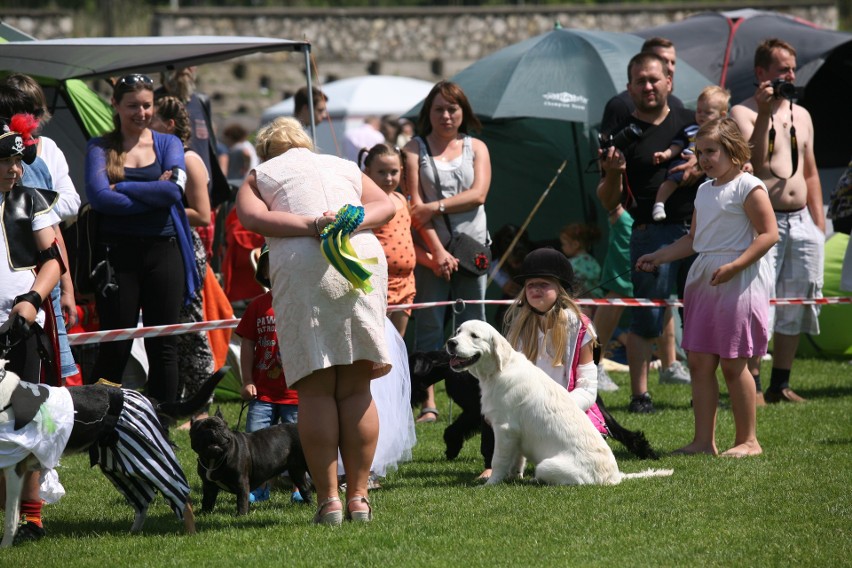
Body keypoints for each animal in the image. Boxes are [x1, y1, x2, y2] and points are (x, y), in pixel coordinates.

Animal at [446, 322, 672, 486]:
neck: (498, 371)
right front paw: (513, 478)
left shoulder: (505, 428)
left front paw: (490, 483)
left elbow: (498, 460)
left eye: (474, 336)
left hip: (546, 465)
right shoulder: (515, 434)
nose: (450, 342)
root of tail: (615, 477)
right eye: (458, 331)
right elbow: (517, 460)